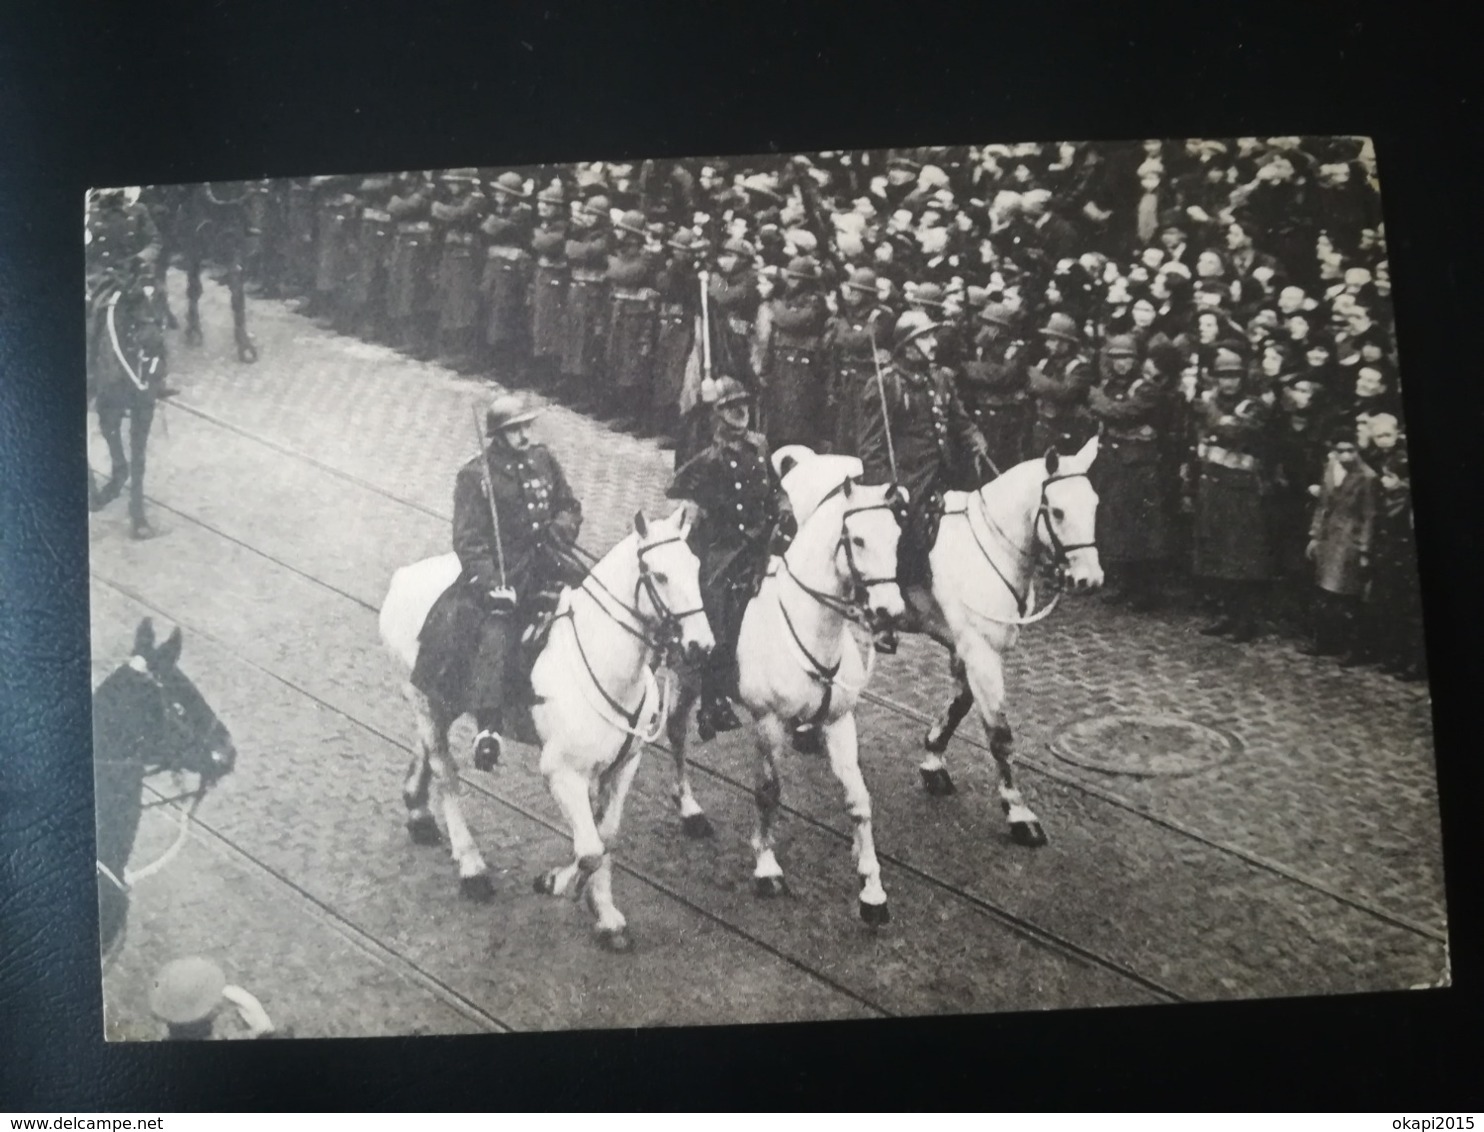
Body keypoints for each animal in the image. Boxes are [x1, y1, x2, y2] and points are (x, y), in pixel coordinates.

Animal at [379, 510, 709, 949]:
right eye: (659, 575)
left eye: (696, 567)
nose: (702, 647)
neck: (605, 658)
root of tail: (404, 577)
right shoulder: (562, 773)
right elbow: (589, 849)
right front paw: (554, 882)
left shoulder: (623, 768)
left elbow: (606, 839)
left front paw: (605, 914)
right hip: (426, 703)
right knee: (446, 775)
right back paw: (472, 868)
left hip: (440, 703)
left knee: (428, 754)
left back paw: (417, 809)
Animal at [664, 474, 902, 925]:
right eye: (858, 539)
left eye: (898, 536)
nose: (890, 614)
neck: (811, 628)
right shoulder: (768, 722)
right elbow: (768, 792)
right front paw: (766, 867)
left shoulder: (839, 723)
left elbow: (859, 801)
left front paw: (873, 889)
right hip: (685, 677)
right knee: (676, 732)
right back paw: (690, 810)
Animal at [765, 442, 1104, 848]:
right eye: (1058, 510)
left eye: (1095, 504)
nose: (1089, 580)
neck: (989, 548)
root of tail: (802, 461)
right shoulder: (981, 652)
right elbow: (999, 735)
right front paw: (1019, 813)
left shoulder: (966, 649)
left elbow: (959, 706)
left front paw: (932, 762)